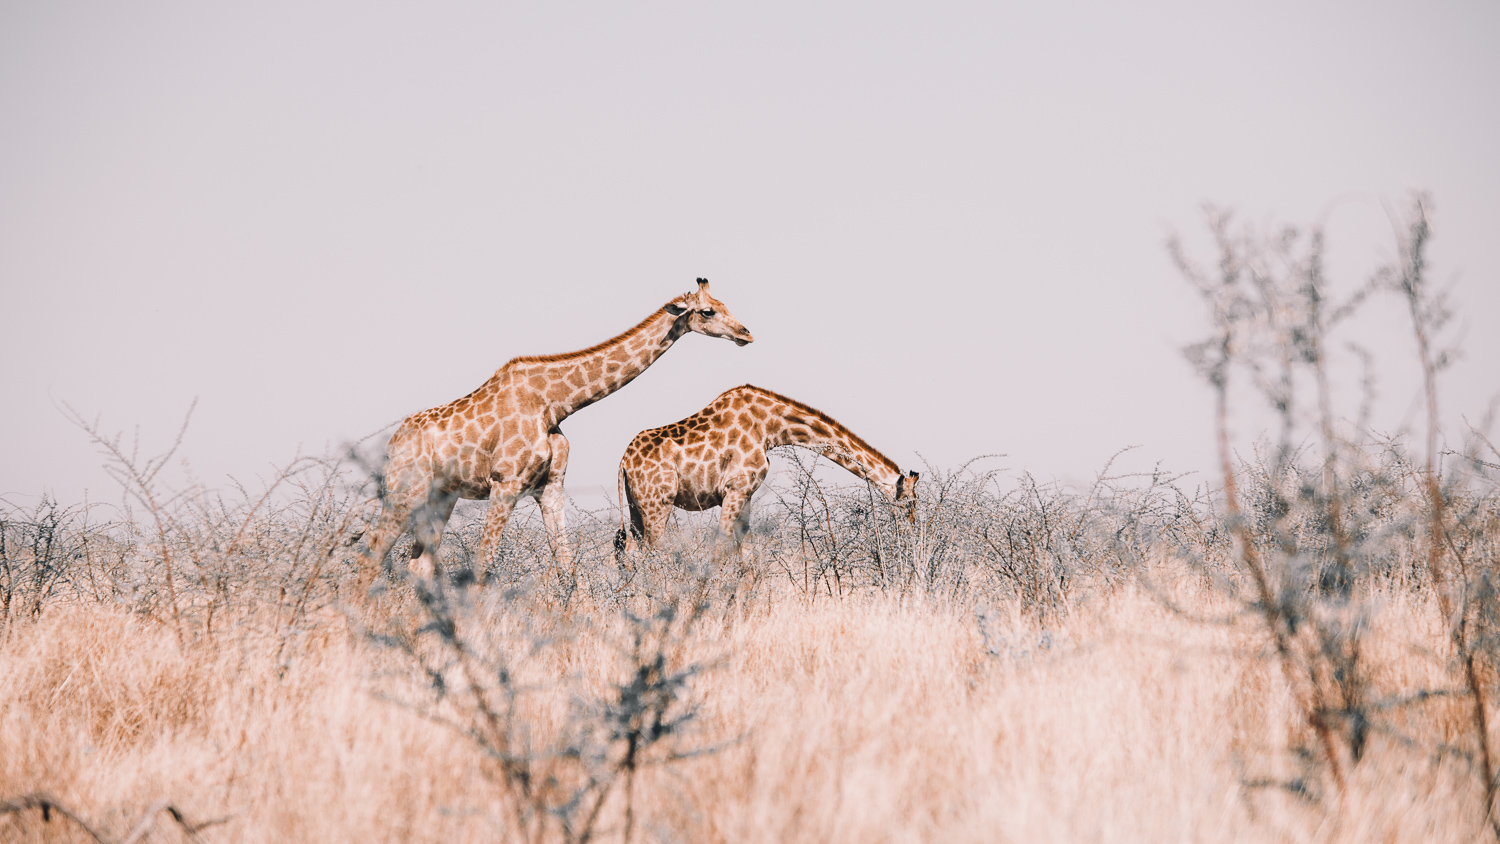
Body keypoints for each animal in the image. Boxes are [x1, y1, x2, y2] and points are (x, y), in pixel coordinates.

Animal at [358, 280, 756, 584]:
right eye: (708, 311)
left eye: (724, 304)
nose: (747, 334)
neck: (555, 403)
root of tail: (393, 444)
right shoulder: (506, 483)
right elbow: (485, 562)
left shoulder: (549, 486)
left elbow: (566, 565)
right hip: (405, 491)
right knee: (373, 552)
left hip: (441, 496)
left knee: (418, 563)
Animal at [609, 383, 912, 560]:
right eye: (909, 503)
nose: (909, 533)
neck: (771, 427)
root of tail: (624, 462)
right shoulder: (734, 489)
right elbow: (720, 549)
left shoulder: (746, 494)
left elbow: (747, 554)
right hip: (658, 504)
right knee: (653, 552)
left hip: (637, 507)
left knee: (630, 550)